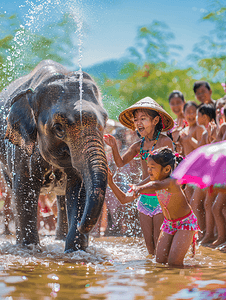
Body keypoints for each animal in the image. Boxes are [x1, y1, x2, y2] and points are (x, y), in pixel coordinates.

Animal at [0, 59, 108, 252]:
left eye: (105, 120)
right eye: (58, 128)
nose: (81, 224)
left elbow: (79, 190)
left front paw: (75, 250)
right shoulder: (21, 150)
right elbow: (24, 190)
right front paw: (29, 248)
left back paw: (60, 238)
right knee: (12, 190)